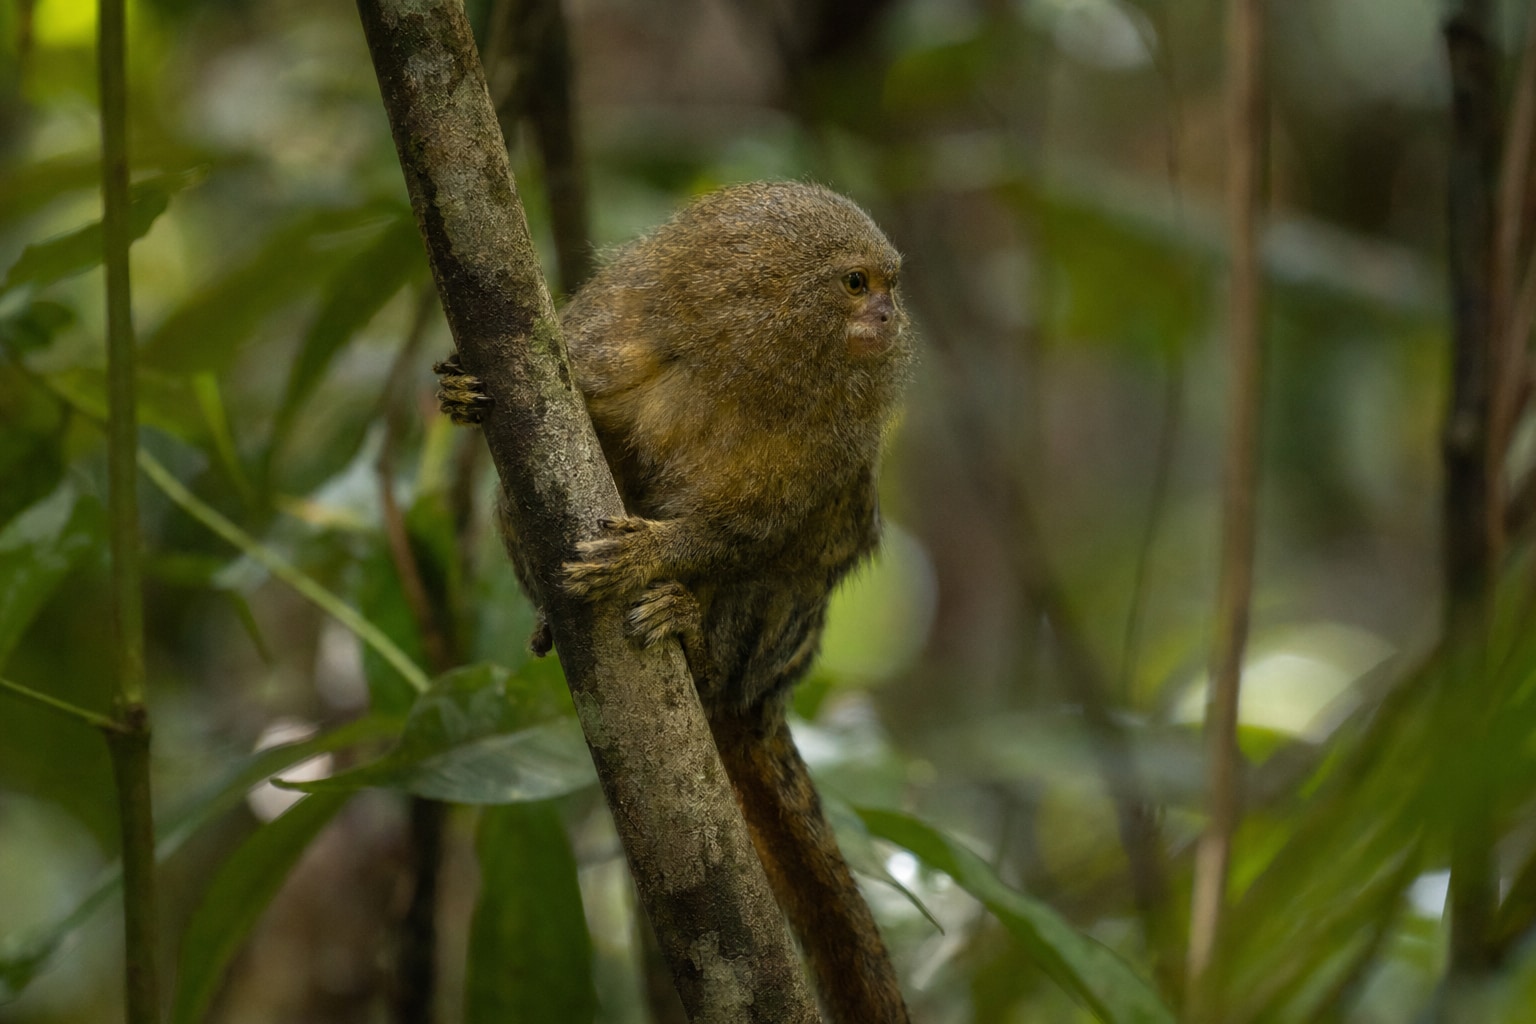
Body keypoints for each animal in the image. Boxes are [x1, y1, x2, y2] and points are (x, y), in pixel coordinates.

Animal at [437, 180, 914, 1023]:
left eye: (889, 286)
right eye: (858, 284)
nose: (889, 317)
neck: (735, 366)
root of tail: (759, 705)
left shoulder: (823, 448)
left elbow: (751, 537)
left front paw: (653, 555)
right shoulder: (603, 344)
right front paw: (464, 390)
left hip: (767, 654)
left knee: (779, 587)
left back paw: (693, 644)